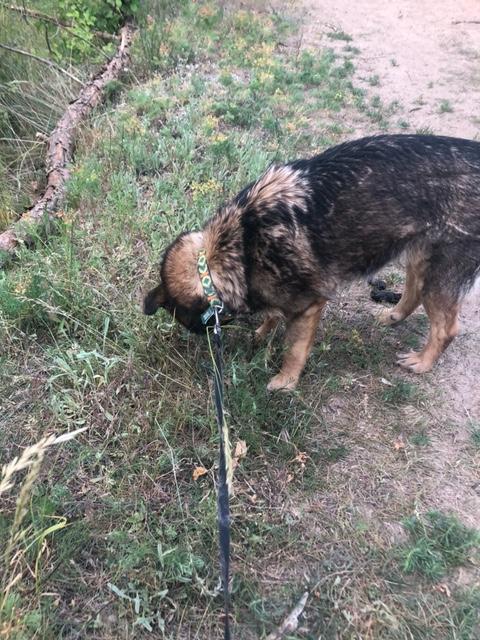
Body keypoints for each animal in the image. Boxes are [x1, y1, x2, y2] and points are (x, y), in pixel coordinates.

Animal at [143, 134, 480, 391]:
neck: (230, 249)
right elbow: (273, 314)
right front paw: (263, 331)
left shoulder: (308, 306)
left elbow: (293, 350)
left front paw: (285, 381)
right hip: (420, 255)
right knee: (413, 290)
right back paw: (392, 316)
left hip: (440, 270)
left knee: (446, 327)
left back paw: (422, 362)